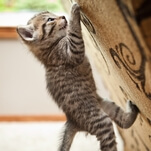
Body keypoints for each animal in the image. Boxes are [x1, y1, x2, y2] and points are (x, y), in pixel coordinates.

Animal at [16, 3, 138, 151]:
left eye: (53, 15)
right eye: (50, 19)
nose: (62, 16)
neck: (50, 50)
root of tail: (72, 121)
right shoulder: (71, 52)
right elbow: (74, 33)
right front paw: (73, 13)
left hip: (106, 105)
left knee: (123, 123)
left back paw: (132, 111)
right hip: (100, 120)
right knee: (108, 142)